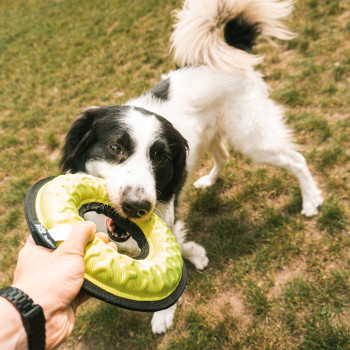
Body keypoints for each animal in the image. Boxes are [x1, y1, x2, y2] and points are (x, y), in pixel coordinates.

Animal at [59, 0, 322, 334]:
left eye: (161, 159)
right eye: (115, 148)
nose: (136, 206)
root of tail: (231, 48)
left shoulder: (165, 214)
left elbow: (169, 259)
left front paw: (166, 309)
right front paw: (195, 254)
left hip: (252, 138)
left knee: (296, 160)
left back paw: (311, 200)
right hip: (210, 136)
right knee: (223, 156)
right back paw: (209, 181)